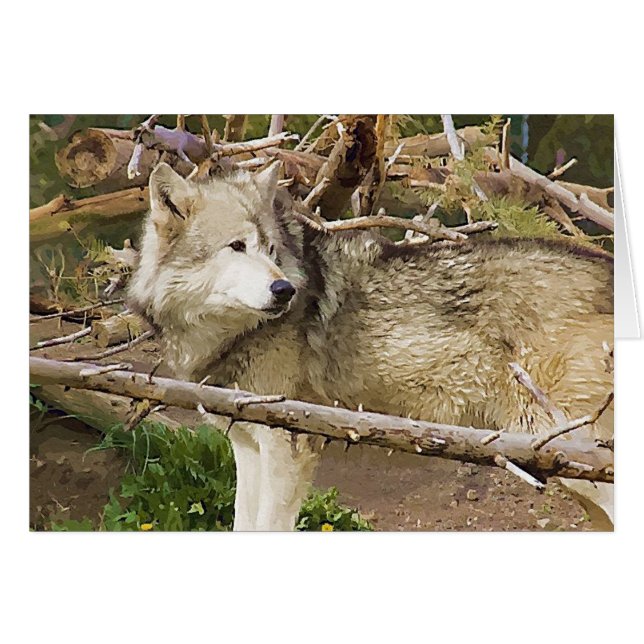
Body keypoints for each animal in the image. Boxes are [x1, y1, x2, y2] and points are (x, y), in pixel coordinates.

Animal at [128, 162, 614, 531]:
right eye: (236, 247)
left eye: (270, 249)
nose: (284, 290)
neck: (231, 335)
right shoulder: (248, 448)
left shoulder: (289, 448)